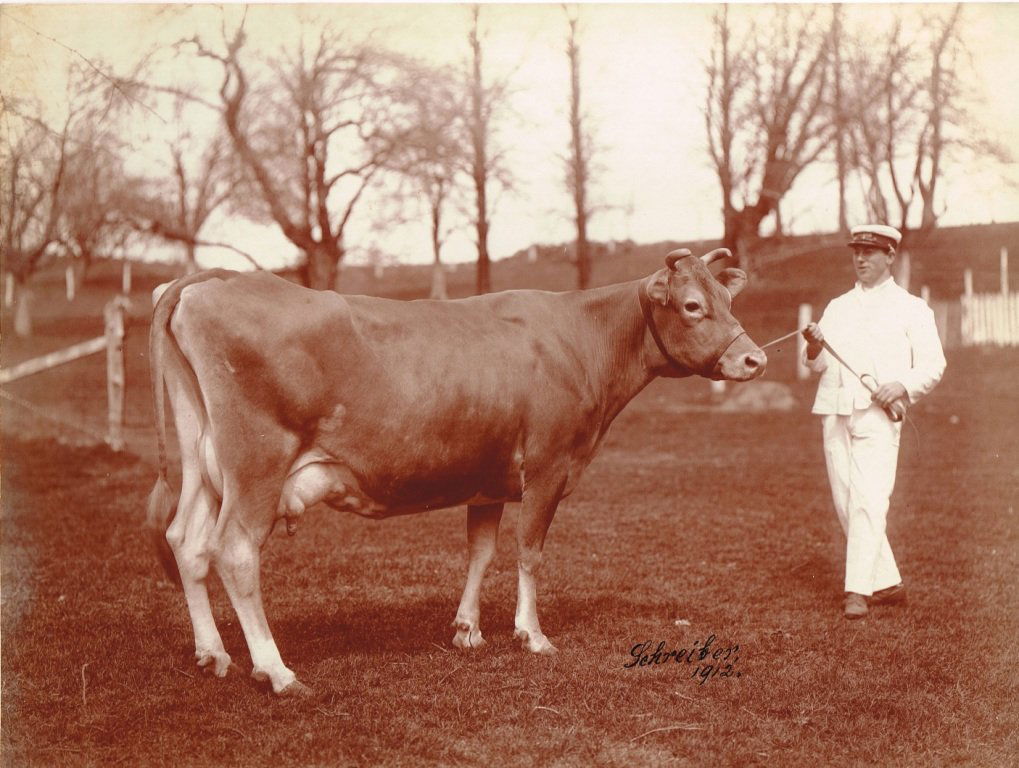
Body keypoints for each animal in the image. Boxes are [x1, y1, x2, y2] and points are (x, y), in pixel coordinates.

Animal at [146, 247, 765, 696]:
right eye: (692, 305)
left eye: (727, 300)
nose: (754, 358)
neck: (582, 339)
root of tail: (212, 279)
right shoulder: (548, 466)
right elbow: (529, 552)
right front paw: (532, 634)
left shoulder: (487, 477)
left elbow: (481, 552)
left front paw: (468, 629)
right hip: (256, 465)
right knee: (235, 552)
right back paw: (277, 672)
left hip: (204, 464)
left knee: (186, 541)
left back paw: (212, 654)